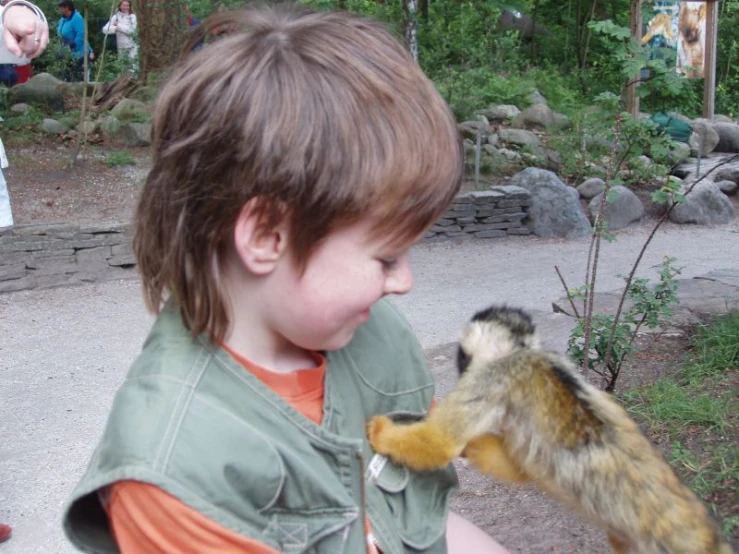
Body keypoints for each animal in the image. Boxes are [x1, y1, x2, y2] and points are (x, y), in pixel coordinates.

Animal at [368, 306, 732, 552]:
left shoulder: (494, 376)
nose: (460, 366)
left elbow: (440, 442)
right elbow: (523, 469)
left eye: (463, 358)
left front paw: (382, 433)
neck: (527, 355)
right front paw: (474, 445)